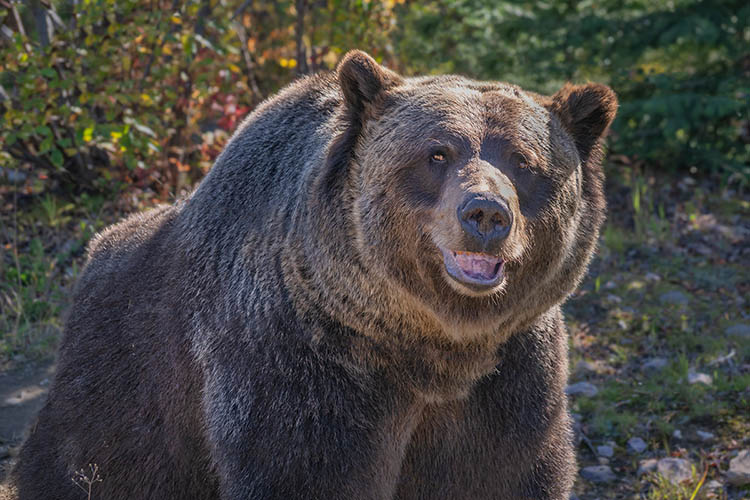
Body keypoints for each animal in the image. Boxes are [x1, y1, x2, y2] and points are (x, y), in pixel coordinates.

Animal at [11, 51, 620, 500]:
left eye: (524, 161)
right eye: (437, 153)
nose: (486, 214)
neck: (429, 347)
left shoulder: (510, 375)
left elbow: (502, 473)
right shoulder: (303, 365)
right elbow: (305, 470)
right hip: (124, 384)